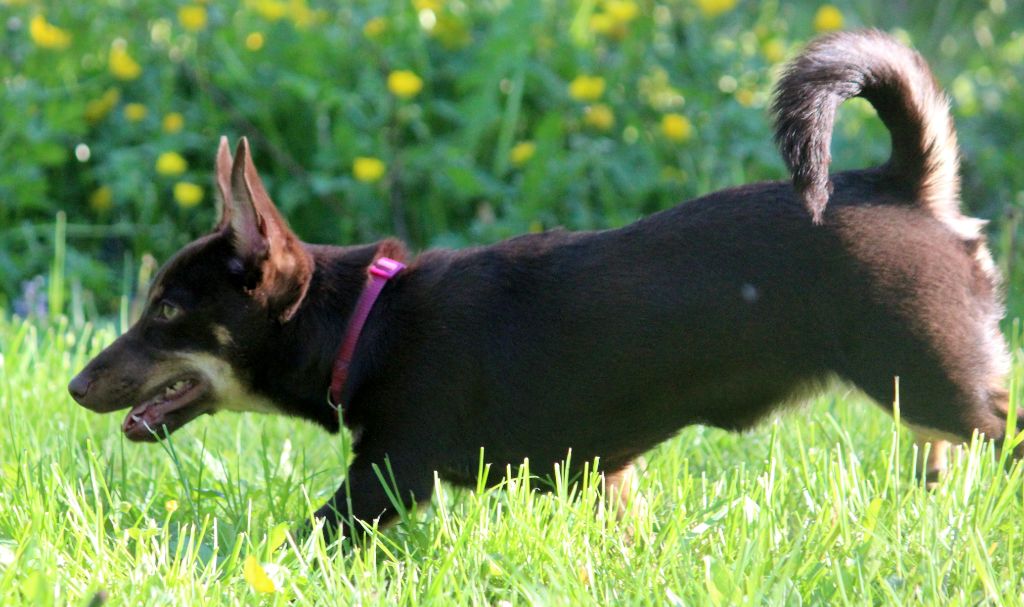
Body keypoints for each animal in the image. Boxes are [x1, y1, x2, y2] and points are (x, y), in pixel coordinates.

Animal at [69, 30, 1014, 538]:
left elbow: (312, 534)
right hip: (927, 394)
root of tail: (905, 182)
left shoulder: (386, 476)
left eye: (166, 311)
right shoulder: (604, 477)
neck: (364, 322)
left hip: (942, 379)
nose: (75, 385)